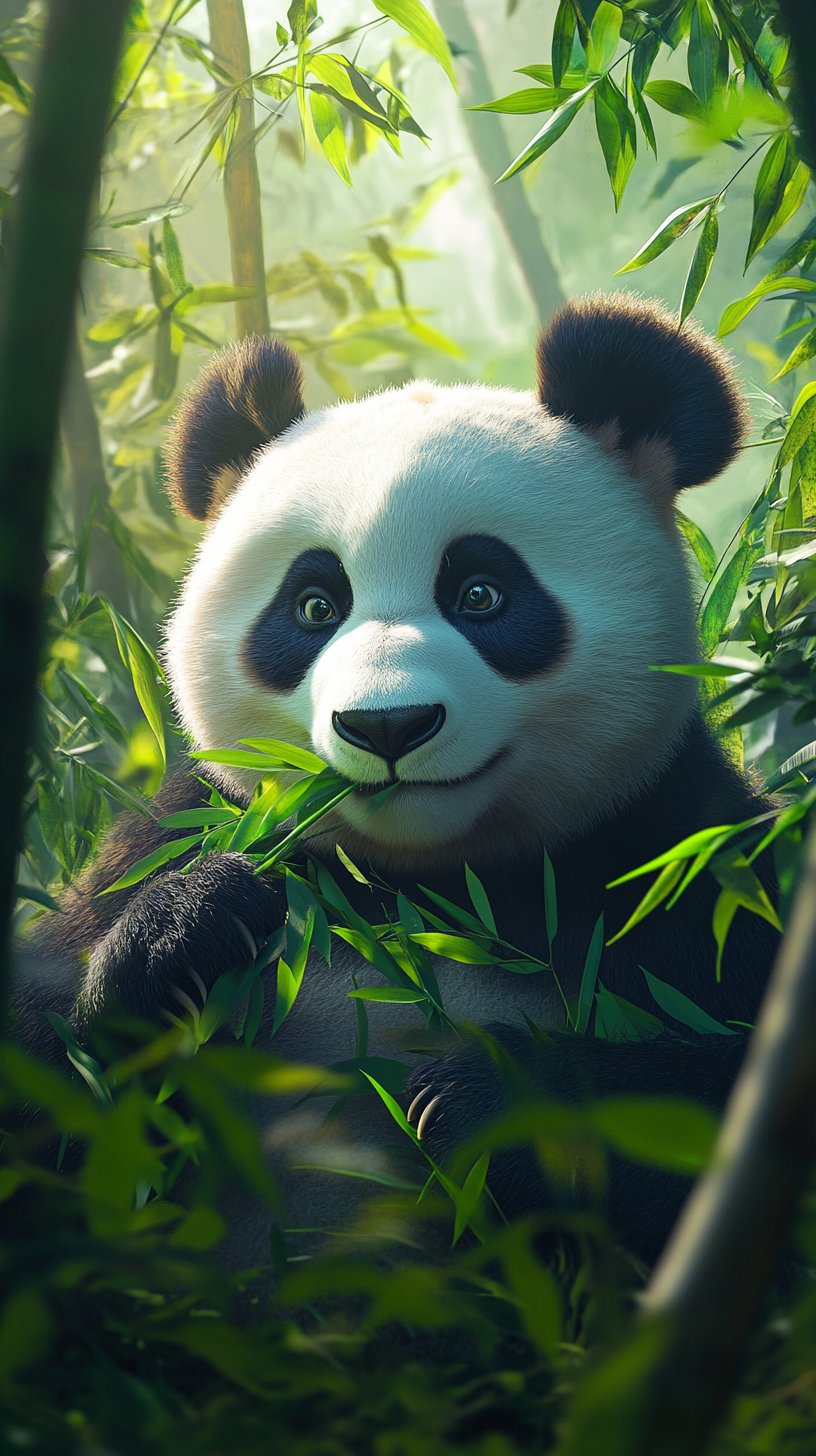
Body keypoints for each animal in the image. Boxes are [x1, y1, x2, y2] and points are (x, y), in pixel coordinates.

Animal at [20, 292, 779, 1265]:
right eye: (314, 606)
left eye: (482, 594)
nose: (387, 726)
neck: (425, 884)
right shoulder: (177, 828)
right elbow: (48, 1097)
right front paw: (189, 926)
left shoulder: (682, 854)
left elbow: (721, 1094)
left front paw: (477, 1100)